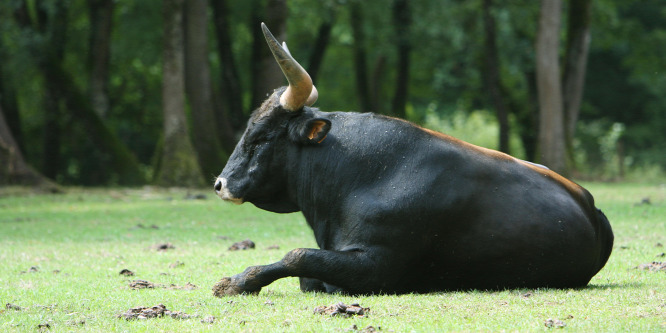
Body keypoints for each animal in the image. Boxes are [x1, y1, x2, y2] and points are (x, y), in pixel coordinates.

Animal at [213, 25, 612, 296]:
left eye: (261, 136)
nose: (219, 183)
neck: (355, 179)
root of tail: (590, 206)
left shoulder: (376, 267)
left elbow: (298, 256)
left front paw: (236, 281)